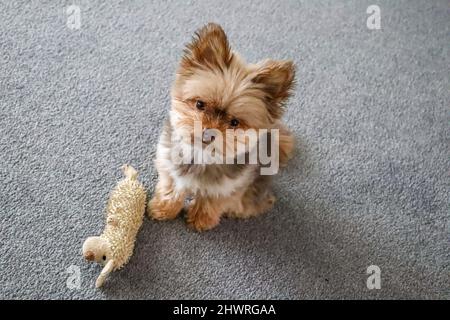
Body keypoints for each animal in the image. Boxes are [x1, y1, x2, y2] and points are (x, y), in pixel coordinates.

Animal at [148, 23, 296, 231]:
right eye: (200, 104)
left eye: (234, 123)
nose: (207, 134)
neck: (201, 156)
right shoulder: (168, 165)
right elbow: (171, 188)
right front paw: (162, 209)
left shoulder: (230, 186)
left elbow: (213, 201)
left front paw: (201, 220)